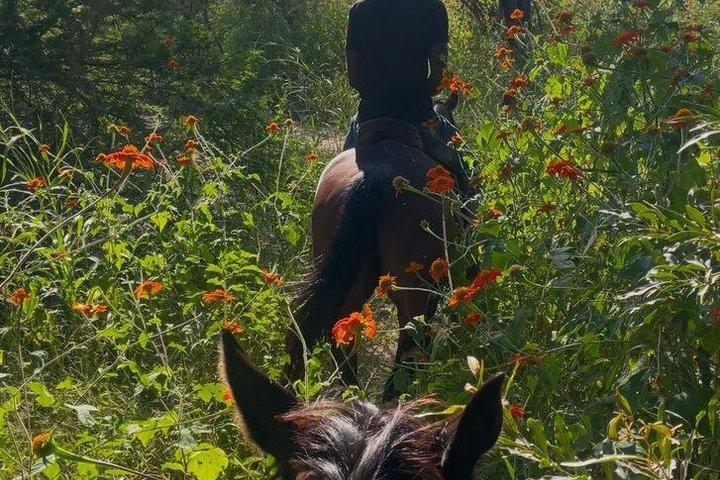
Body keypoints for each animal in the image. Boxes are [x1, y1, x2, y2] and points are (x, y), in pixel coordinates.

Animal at [285, 101, 461, 398]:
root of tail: (373, 178)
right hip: (412, 284)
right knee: (409, 339)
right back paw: (394, 397)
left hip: (352, 277)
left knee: (341, 329)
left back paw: (354, 392)